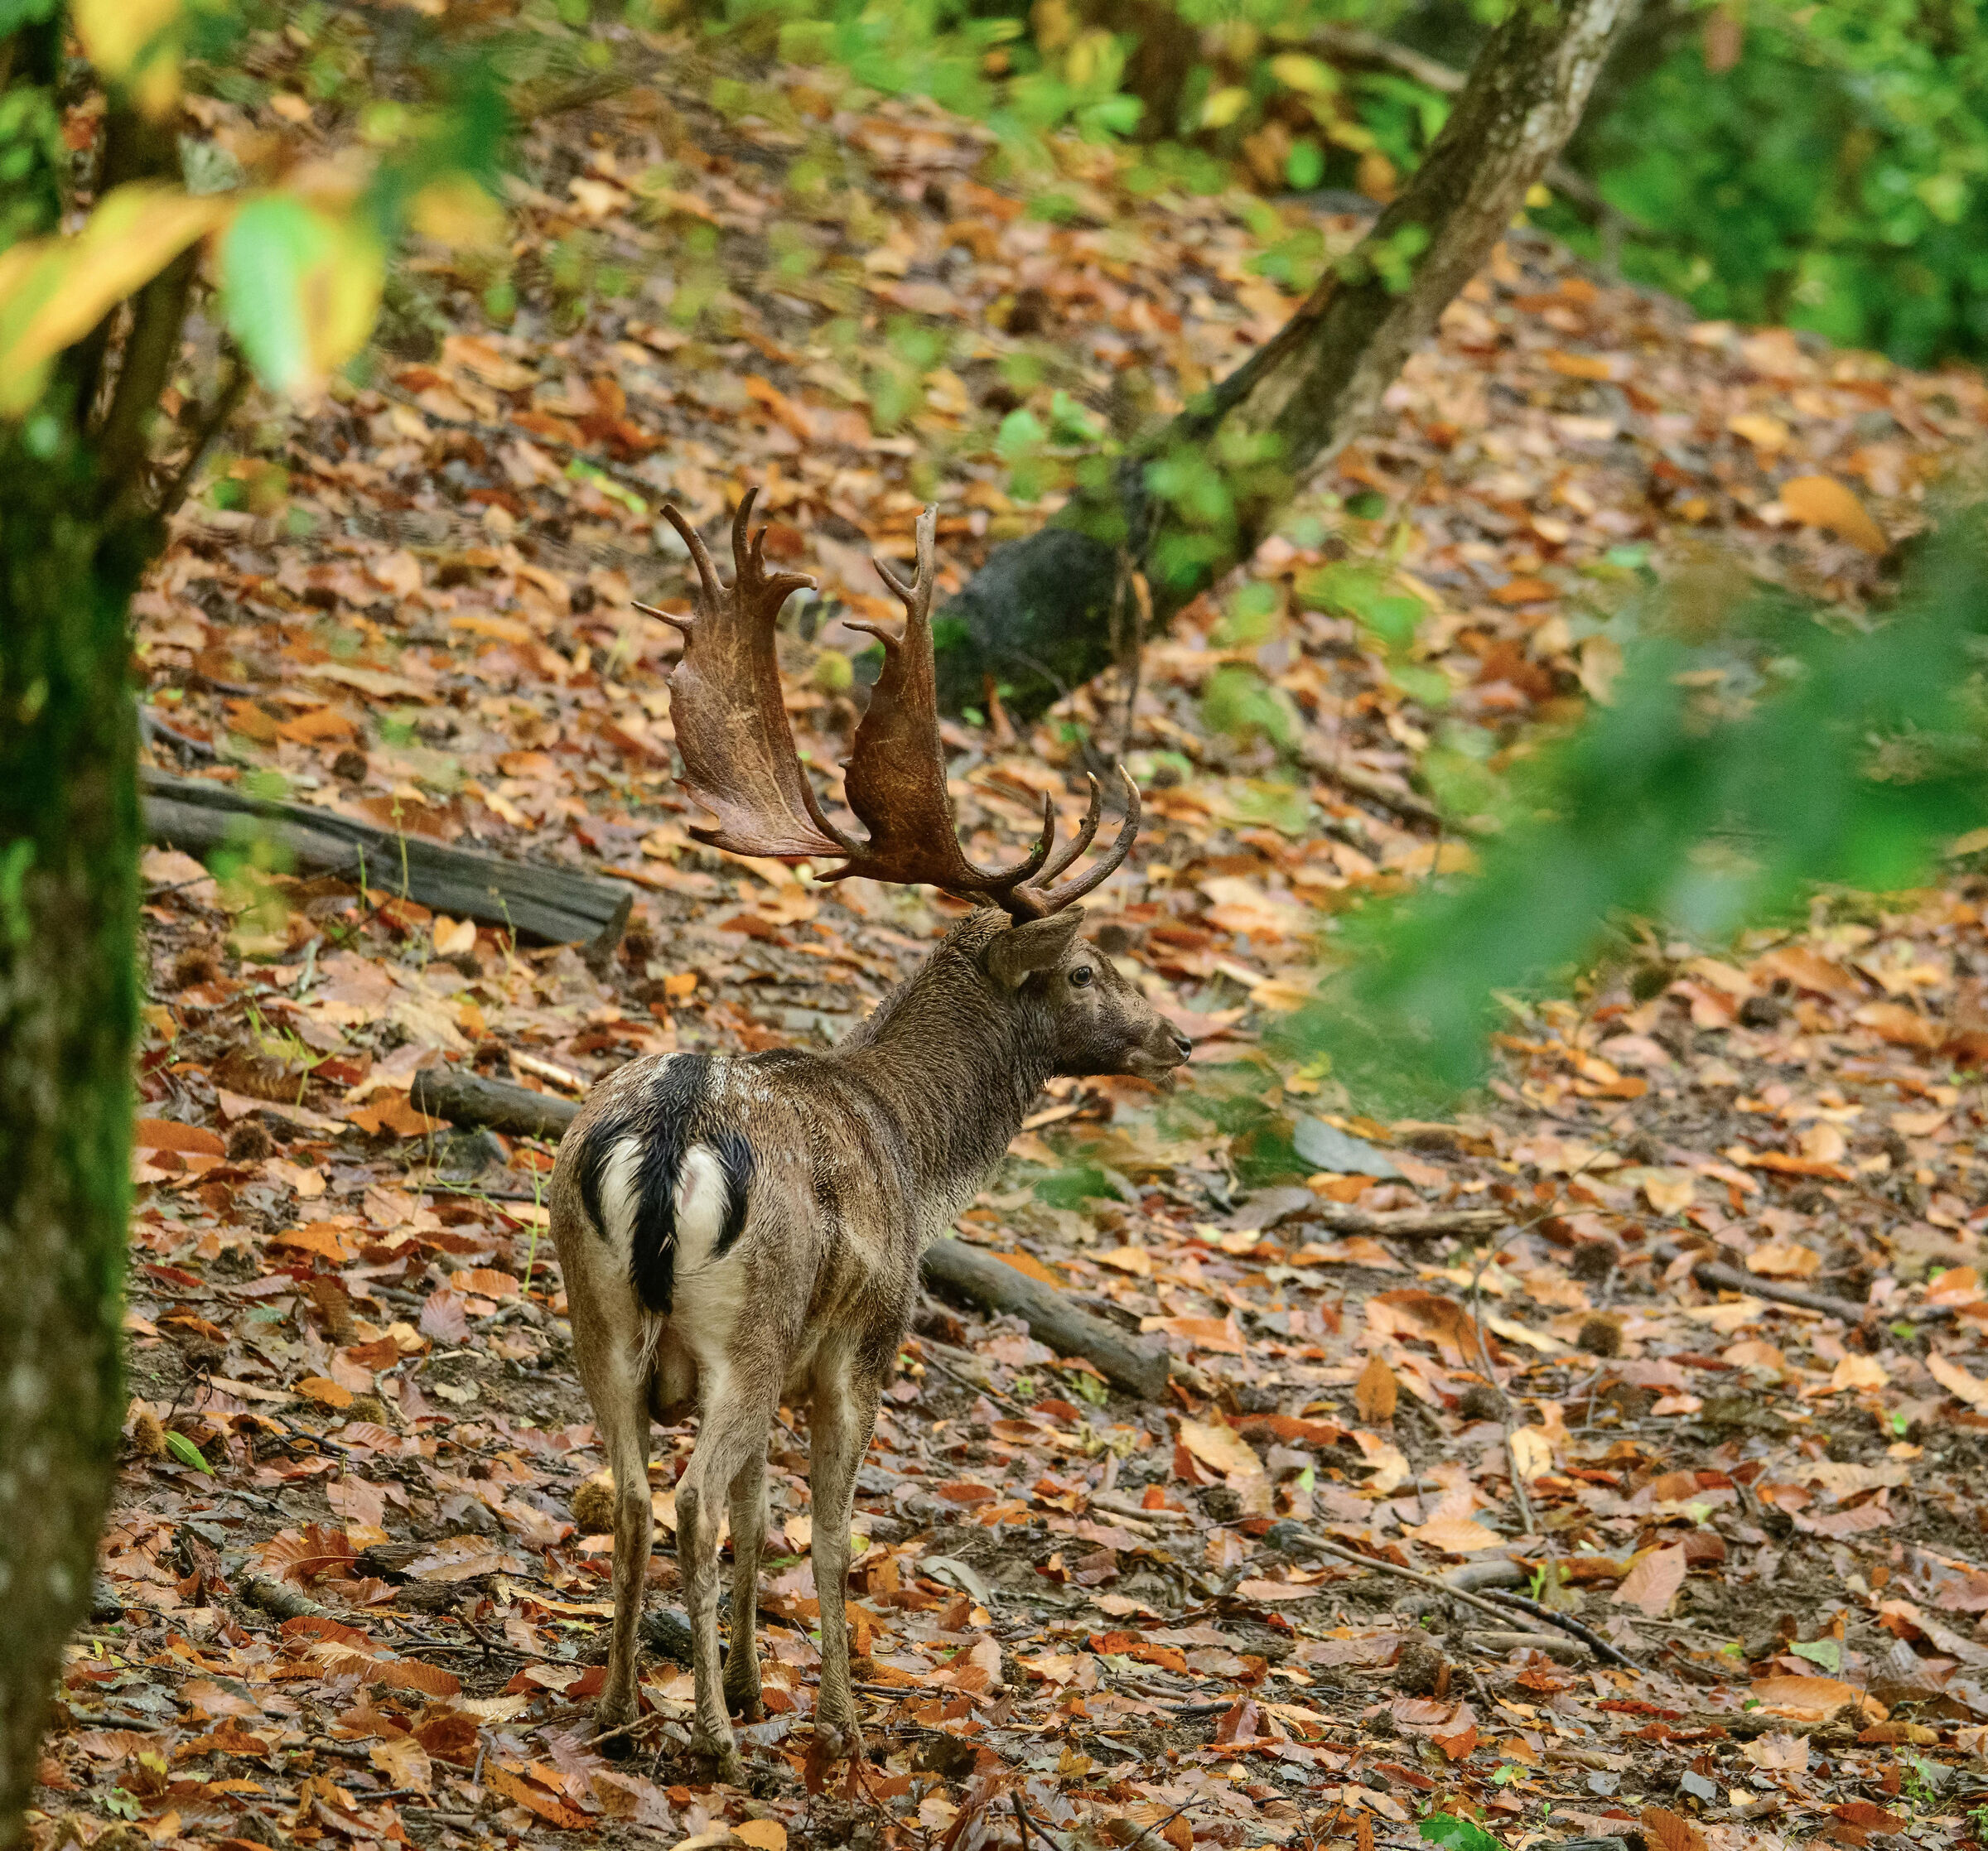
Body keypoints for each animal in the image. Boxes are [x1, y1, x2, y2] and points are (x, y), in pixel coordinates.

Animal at [549, 491, 1190, 1786]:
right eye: (1087, 969)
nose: (1175, 1036)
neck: (920, 1156)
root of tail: (673, 1131)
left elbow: (760, 1516)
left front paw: (755, 1684)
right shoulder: (858, 1347)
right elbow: (829, 1532)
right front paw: (837, 1721)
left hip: (595, 1309)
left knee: (637, 1490)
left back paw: (622, 1709)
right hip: (746, 1331)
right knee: (689, 1498)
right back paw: (709, 1742)